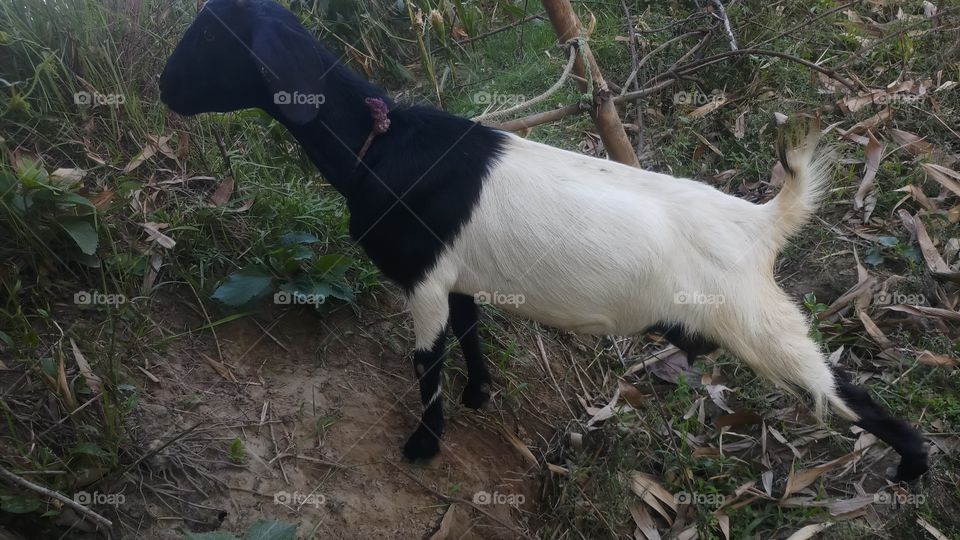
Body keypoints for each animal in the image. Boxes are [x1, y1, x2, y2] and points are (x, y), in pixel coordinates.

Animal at [159, 0, 928, 480]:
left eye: (211, 39)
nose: (164, 88)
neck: (381, 144)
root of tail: (762, 221)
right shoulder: (459, 275)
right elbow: (470, 334)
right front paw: (478, 395)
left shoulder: (424, 279)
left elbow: (427, 362)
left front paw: (424, 445)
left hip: (759, 323)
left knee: (840, 390)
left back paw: (913, 467)